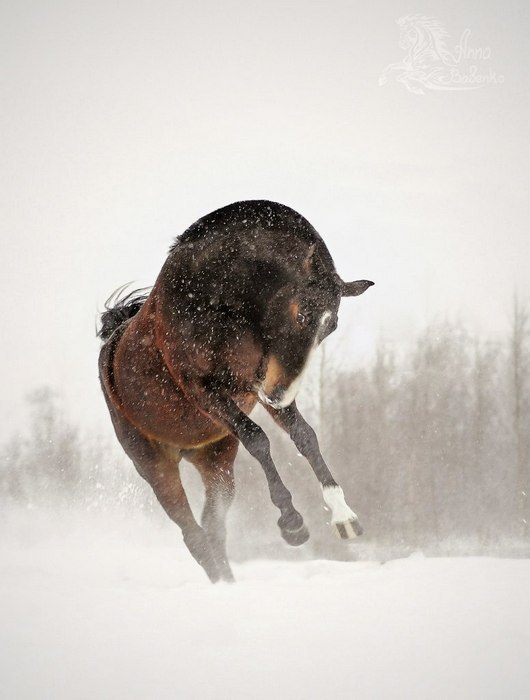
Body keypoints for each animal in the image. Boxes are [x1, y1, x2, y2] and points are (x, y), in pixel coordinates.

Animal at [98, 200, 372, 584]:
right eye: (301, 313)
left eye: (330, 326)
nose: (280, 394)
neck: (216, 298)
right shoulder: (205, 390)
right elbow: (258, 439)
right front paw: (292, 523)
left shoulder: (261, 384)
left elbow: (305, 437)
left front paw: (344, 517)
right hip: (156, 469)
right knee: (194, 535)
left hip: (216, 463)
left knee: (213, 529)